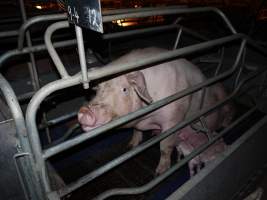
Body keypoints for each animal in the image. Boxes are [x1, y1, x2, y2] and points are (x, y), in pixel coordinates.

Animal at [78, 47, 234, 175]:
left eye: (124, 89)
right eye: (98, 89)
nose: (85, 110)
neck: (147, 117)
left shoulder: (173, 120)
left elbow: (165, 146)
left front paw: (160, 172)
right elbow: (136, 131)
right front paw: (130, 146)